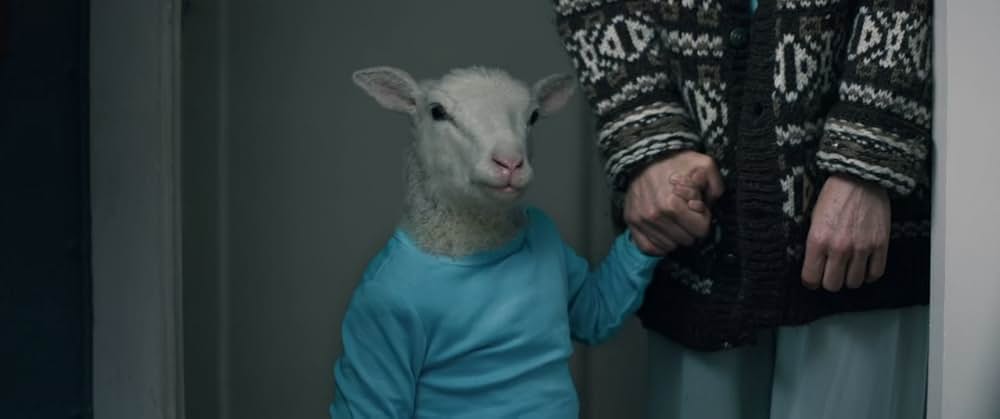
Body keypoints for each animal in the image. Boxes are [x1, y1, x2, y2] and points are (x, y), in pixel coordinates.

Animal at [331, 66, 698, 419]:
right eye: (436, 112)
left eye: (533, 116)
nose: (509, 163)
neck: (471, 247)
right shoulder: (379, 313)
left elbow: (594, 309)